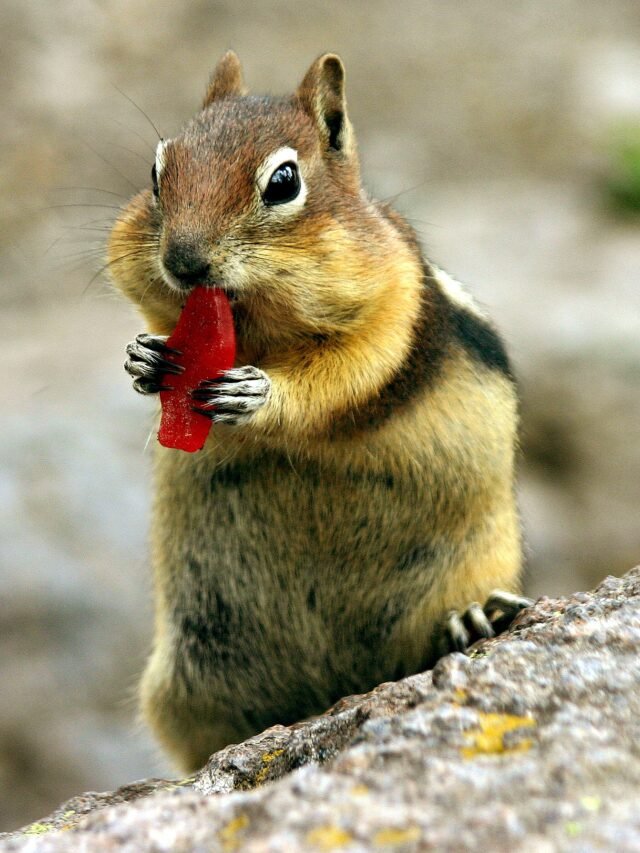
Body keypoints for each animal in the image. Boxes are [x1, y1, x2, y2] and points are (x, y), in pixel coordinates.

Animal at [108, 51, 530, 772]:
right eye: (157, 173)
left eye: (283, 182)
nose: (183, 261)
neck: (259, 331)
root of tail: (337, 686)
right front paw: (146, 358)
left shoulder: (393, 308)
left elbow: (343, 376)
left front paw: (259, 395)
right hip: (191, 676)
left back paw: (474, 619)